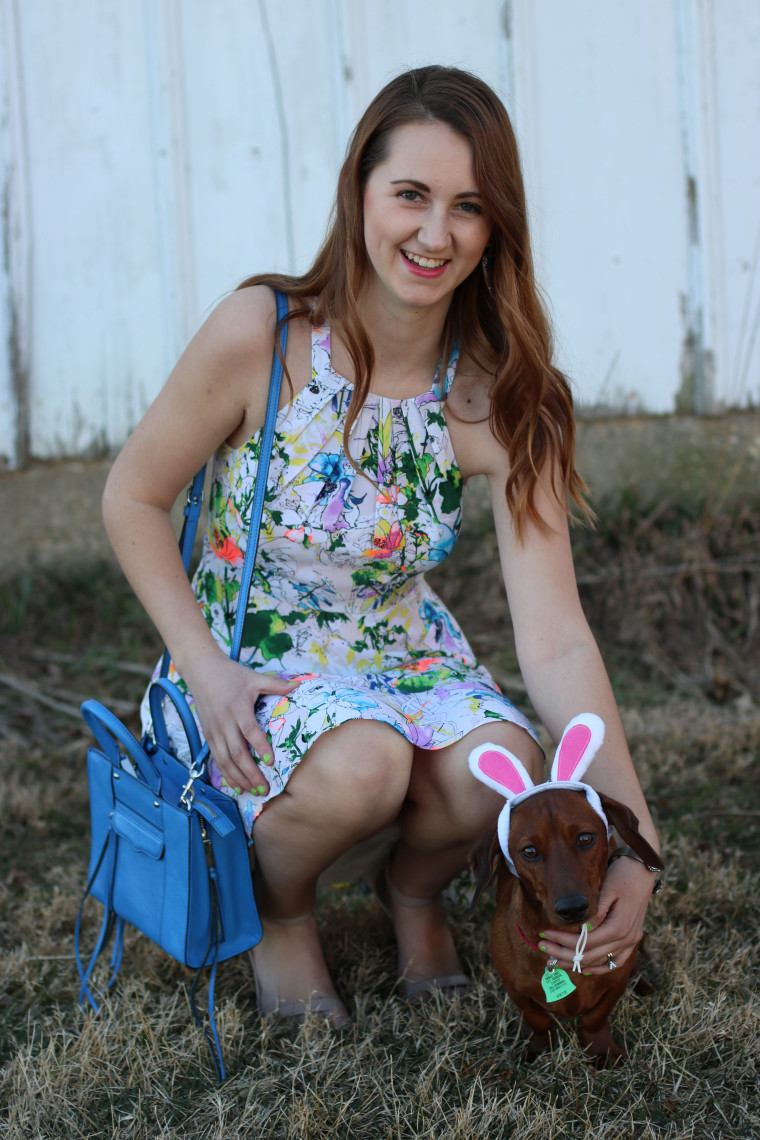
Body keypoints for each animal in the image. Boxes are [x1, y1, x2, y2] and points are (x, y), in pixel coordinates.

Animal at [467, 711, 660, 1067]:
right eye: (529, 851)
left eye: (585, 838)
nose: (572, 908)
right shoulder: (516, 989)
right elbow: (537, 1019)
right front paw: (540, 1047)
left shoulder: (614, 983)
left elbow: (596, 1017)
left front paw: (600, 1048)